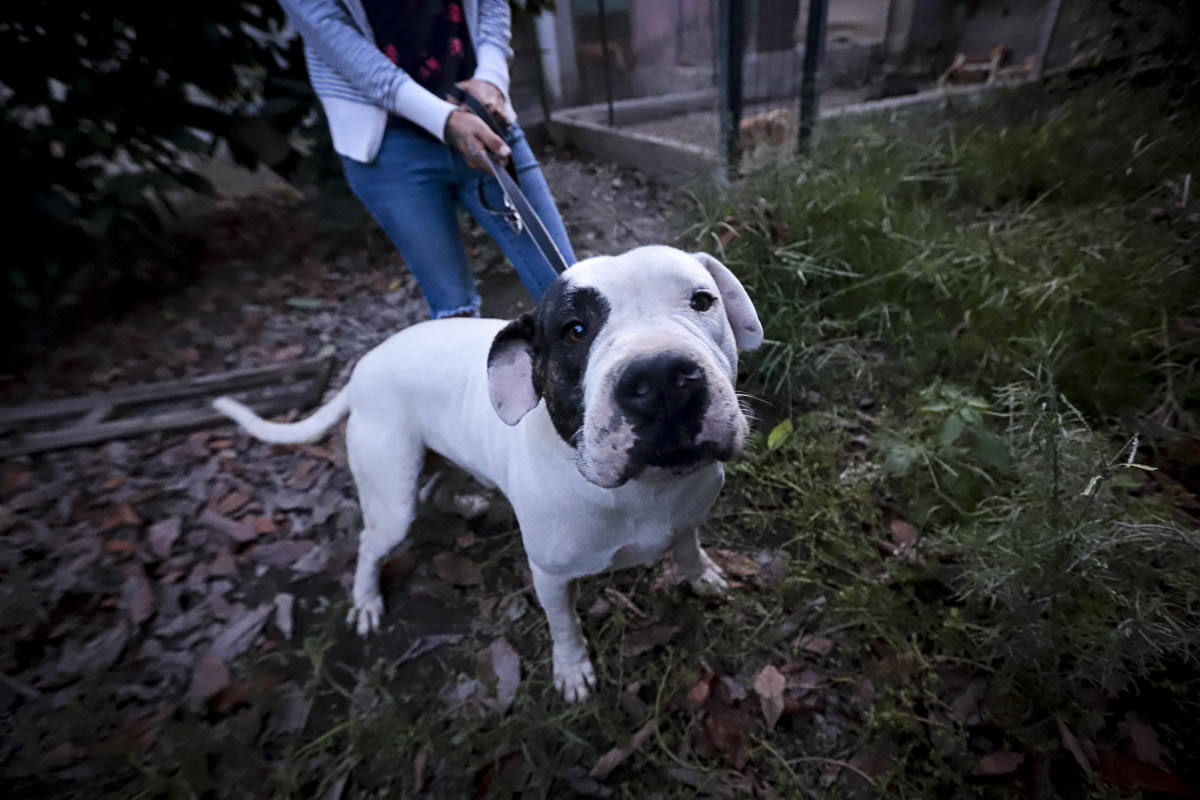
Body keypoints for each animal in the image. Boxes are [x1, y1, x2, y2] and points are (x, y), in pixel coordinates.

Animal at [214, 245, 758, 700]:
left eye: (702, 300)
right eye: (574, 330)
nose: (661, 378)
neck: (641, 493)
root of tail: (362, 368)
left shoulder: (687, 519)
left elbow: (687, 549)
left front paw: (702, 576)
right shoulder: (550, 576)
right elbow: (564, 626)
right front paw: (572, 670)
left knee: (437, 488)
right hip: (391, 497)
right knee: (373, 541)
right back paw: (366, 600)